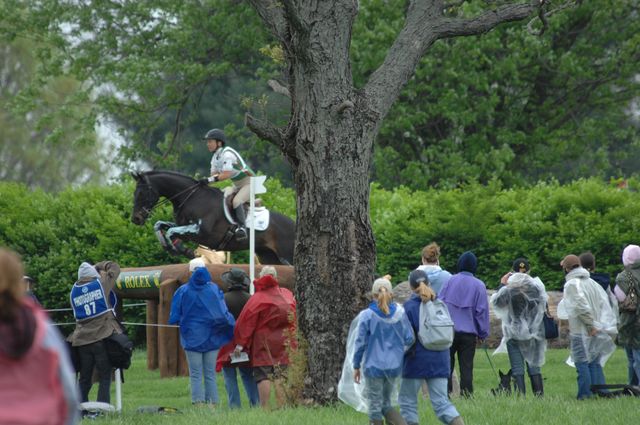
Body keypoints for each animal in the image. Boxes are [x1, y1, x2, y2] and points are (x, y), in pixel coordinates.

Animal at [132, 170, 298, 264]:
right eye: (134, 193)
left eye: (142, 193)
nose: (136, 219)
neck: (191, 197)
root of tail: (295, 225)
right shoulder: (183, 227)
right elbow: (160, 225)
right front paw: (169, 246)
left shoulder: (201, 232)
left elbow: (171, 231)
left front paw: (182, 250)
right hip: (268, 256)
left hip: (287, 257)